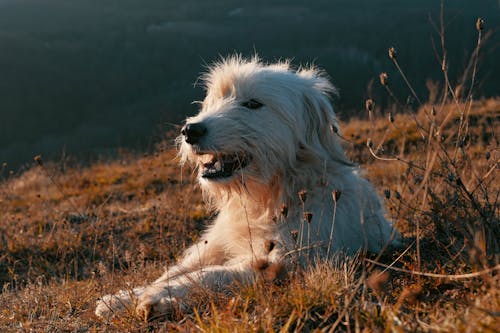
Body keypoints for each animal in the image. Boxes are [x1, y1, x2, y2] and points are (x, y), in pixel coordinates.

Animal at [95, 55, 402, 320]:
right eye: (216, 99)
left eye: (253, 104)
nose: (190, 130)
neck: (265, 198)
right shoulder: (215, 243)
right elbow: (178, 269)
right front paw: (124, 297)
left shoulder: (283, 260)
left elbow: (211, 274)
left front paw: (157, 296)